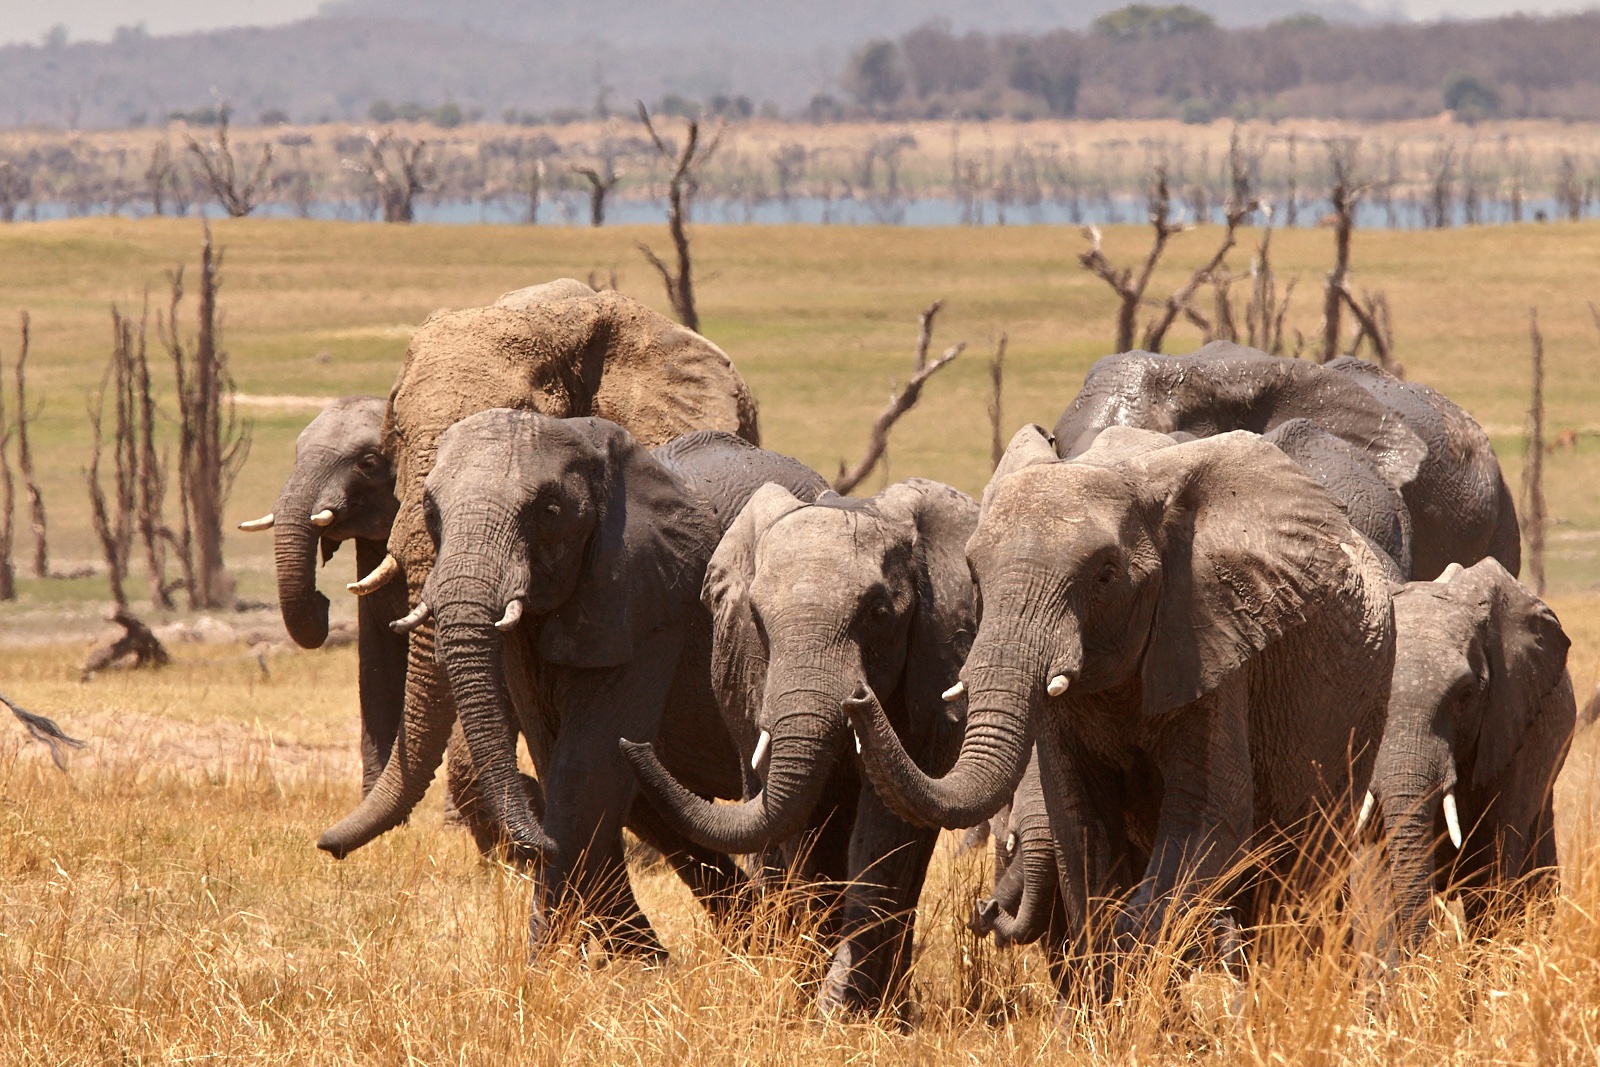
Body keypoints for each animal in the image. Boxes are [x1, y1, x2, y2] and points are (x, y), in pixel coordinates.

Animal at [406, 410, 827, 958]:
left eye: (550, 510)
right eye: (429, 510)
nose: (531, 845)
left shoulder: (648, 600)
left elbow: (587, 763)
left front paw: (545, 967)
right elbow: (562, 757)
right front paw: (632, 963)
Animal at [621, 478, 978, 1013]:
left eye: (879, 614)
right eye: (756, 618)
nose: (858, 697)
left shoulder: (931, 663)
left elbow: (886, 826)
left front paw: (840, 1012)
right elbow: (799, 828)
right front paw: (810, 1004)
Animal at [846, 426, 1397, 994]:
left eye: (1106, 576)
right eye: (975, 576)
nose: (858, 696)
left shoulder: (1209, 635)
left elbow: (1208, 815)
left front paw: (1135, 955)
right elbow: (1079, 821)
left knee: (1299, 874)